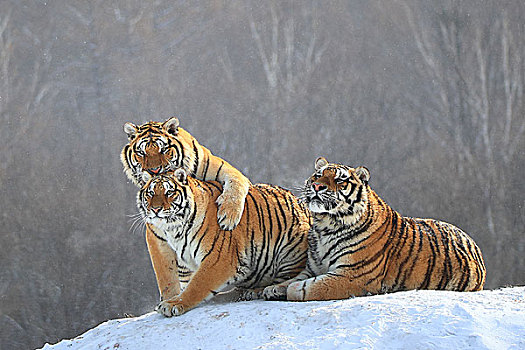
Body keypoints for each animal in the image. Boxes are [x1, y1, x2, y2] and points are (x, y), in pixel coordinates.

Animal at [121, 118, 250, 232]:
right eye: (141, 153)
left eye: (163, 150)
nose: (154, 171)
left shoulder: (225, 170)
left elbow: (235, 185)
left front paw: (228, 218)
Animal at [137, 168, 312, 316]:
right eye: (150, 193)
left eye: (169, 192)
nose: (155, 209)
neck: (174, 229)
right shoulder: (167, 250)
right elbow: (171, 279)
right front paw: (170, 299)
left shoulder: (218, 258)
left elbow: (197, 285)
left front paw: (172, 304)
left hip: (289, 250)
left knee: (287, 279)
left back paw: (263, 291)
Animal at [264, 157, 486, 302]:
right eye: (318, 175)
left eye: (339, 180)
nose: (317, 186)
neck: (324, 226)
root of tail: (473, 243)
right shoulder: (312, 268)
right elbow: (290, 280)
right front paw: (272, 289)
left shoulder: (351, 275)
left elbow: (306, 287)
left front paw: (291, 289)